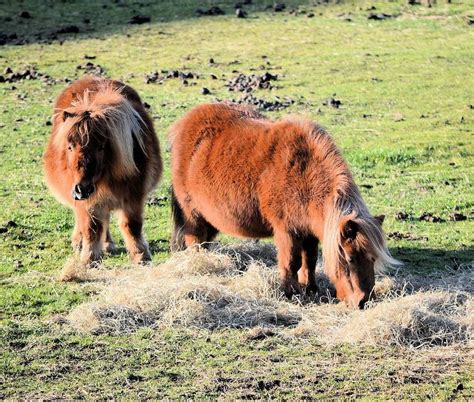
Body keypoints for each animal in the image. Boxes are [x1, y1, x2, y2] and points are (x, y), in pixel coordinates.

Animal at [44, 75, 163, 264]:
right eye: (69, 147)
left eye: (101, 147)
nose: (82, 188)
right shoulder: (88, 201)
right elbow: (91, 227)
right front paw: (89, 258)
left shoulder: (133, 194)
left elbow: (132, 225)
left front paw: (141, 256)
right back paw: (80, 243)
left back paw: (107, 244)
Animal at [168, 103, 398, 308]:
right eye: (350, 258)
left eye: (372, 259)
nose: (363, 302)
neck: (305, 175)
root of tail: (184, 124)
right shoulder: (287, 231)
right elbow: (291, 262)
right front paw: (290, 292)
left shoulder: (309, 232)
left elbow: (310, 260)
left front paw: (311, 288)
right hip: (193, 215)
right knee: (195, 241)